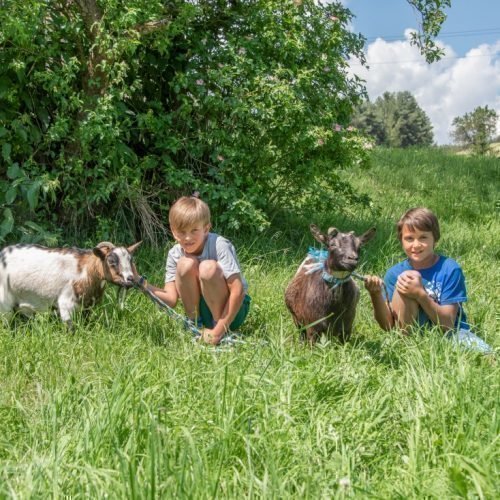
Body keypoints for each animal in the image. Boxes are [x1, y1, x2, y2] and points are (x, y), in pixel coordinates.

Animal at [0, 240, 142, 326]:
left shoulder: (87, 306)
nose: (130, 279)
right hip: (5, 302)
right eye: (111, 261)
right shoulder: (65, 303)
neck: (85, 271)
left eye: (131, 260)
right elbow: (70, 328)